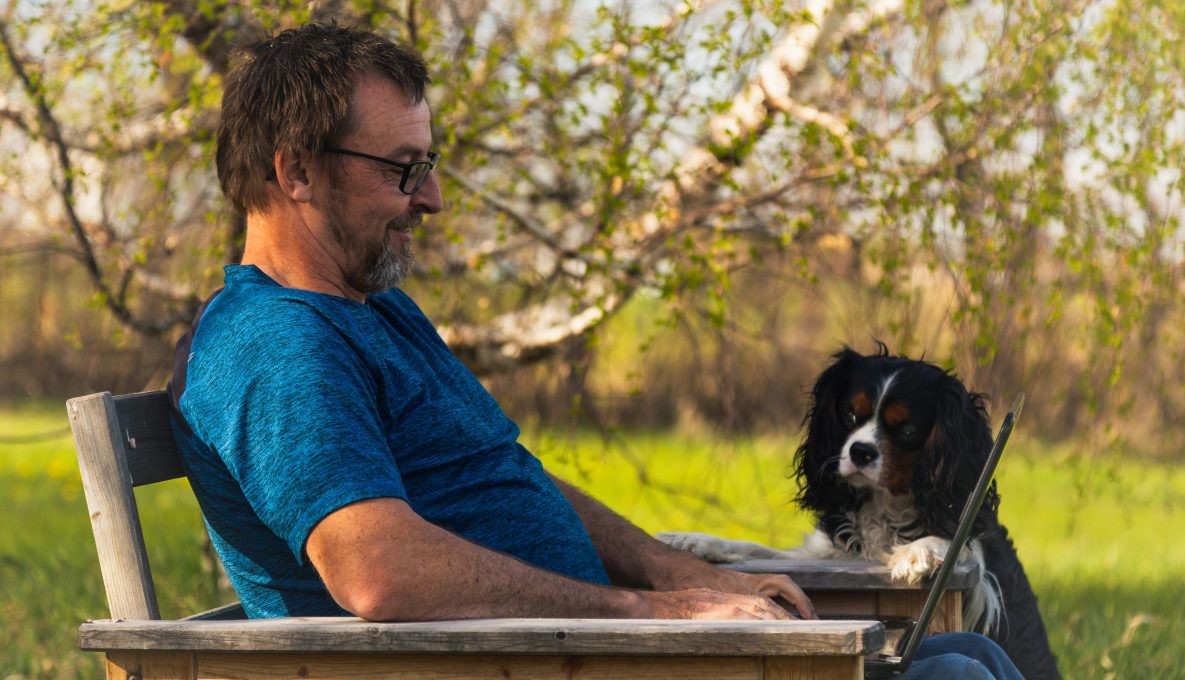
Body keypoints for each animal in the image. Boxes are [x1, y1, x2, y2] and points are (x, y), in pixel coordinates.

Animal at [663, 345, 1061, 680]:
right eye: (850, 414)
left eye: (907, 429)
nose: (860, 451)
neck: (885, 503)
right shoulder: (825, 555)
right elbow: (754, 549)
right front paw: (691, 541)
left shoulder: (981, 569)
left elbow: (957, 541)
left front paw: (916, 552)